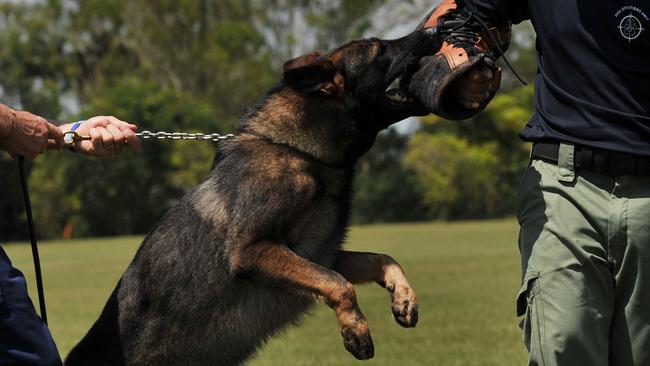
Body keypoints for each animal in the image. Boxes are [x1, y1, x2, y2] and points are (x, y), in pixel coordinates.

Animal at [66, 27, 440, 364]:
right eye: (379, 50)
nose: (434, 30)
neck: (297, 150)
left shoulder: (318, 252)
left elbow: (381, 259)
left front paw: (404, 298)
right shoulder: (255, 250)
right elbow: (338, 283)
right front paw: (356, 330)